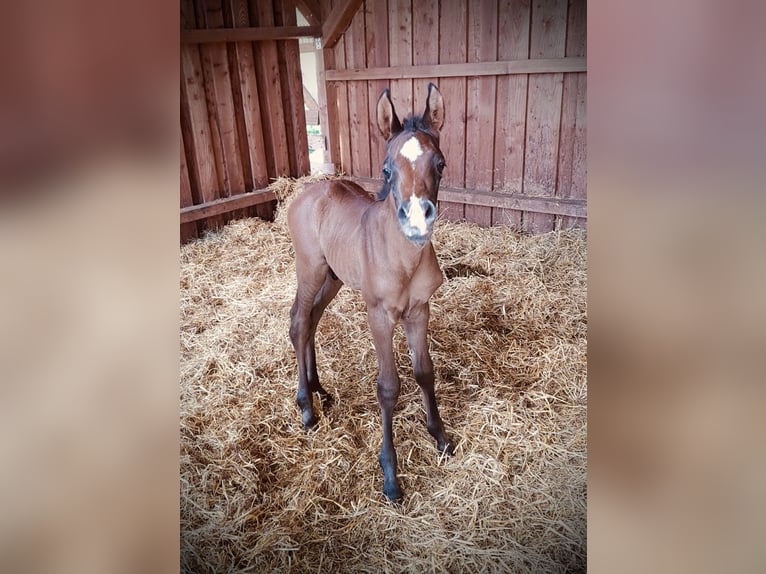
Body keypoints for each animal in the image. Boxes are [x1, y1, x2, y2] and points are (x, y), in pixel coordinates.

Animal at [288, 83, 456, 502]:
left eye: (440, 164)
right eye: (386, 169)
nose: (417, 220)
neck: (403, 260)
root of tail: (306, 194)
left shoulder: (419, 310)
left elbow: (425, 371)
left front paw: (440, 437)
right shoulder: (378, 315)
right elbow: (388, 387)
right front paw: (390, 475)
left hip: (333, 277)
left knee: (313, 319)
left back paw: (319, 389)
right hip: (310, 270)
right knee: (298, 322)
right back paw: (306, 408)